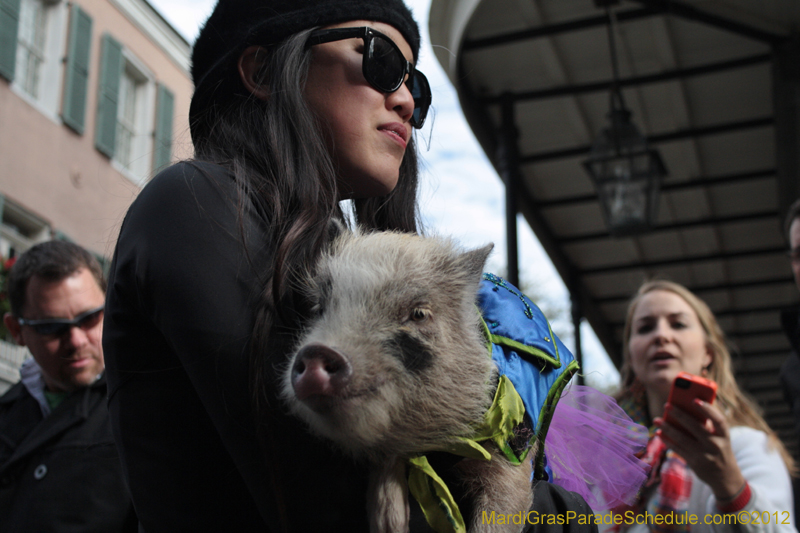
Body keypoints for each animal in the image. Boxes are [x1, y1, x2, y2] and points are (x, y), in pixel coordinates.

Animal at [282, 232, 536, 532]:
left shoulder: (511, 449)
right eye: (320, 308)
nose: (316, 352)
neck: (428, 443)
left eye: (419, 314)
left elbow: (505, 503)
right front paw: (388, 522)